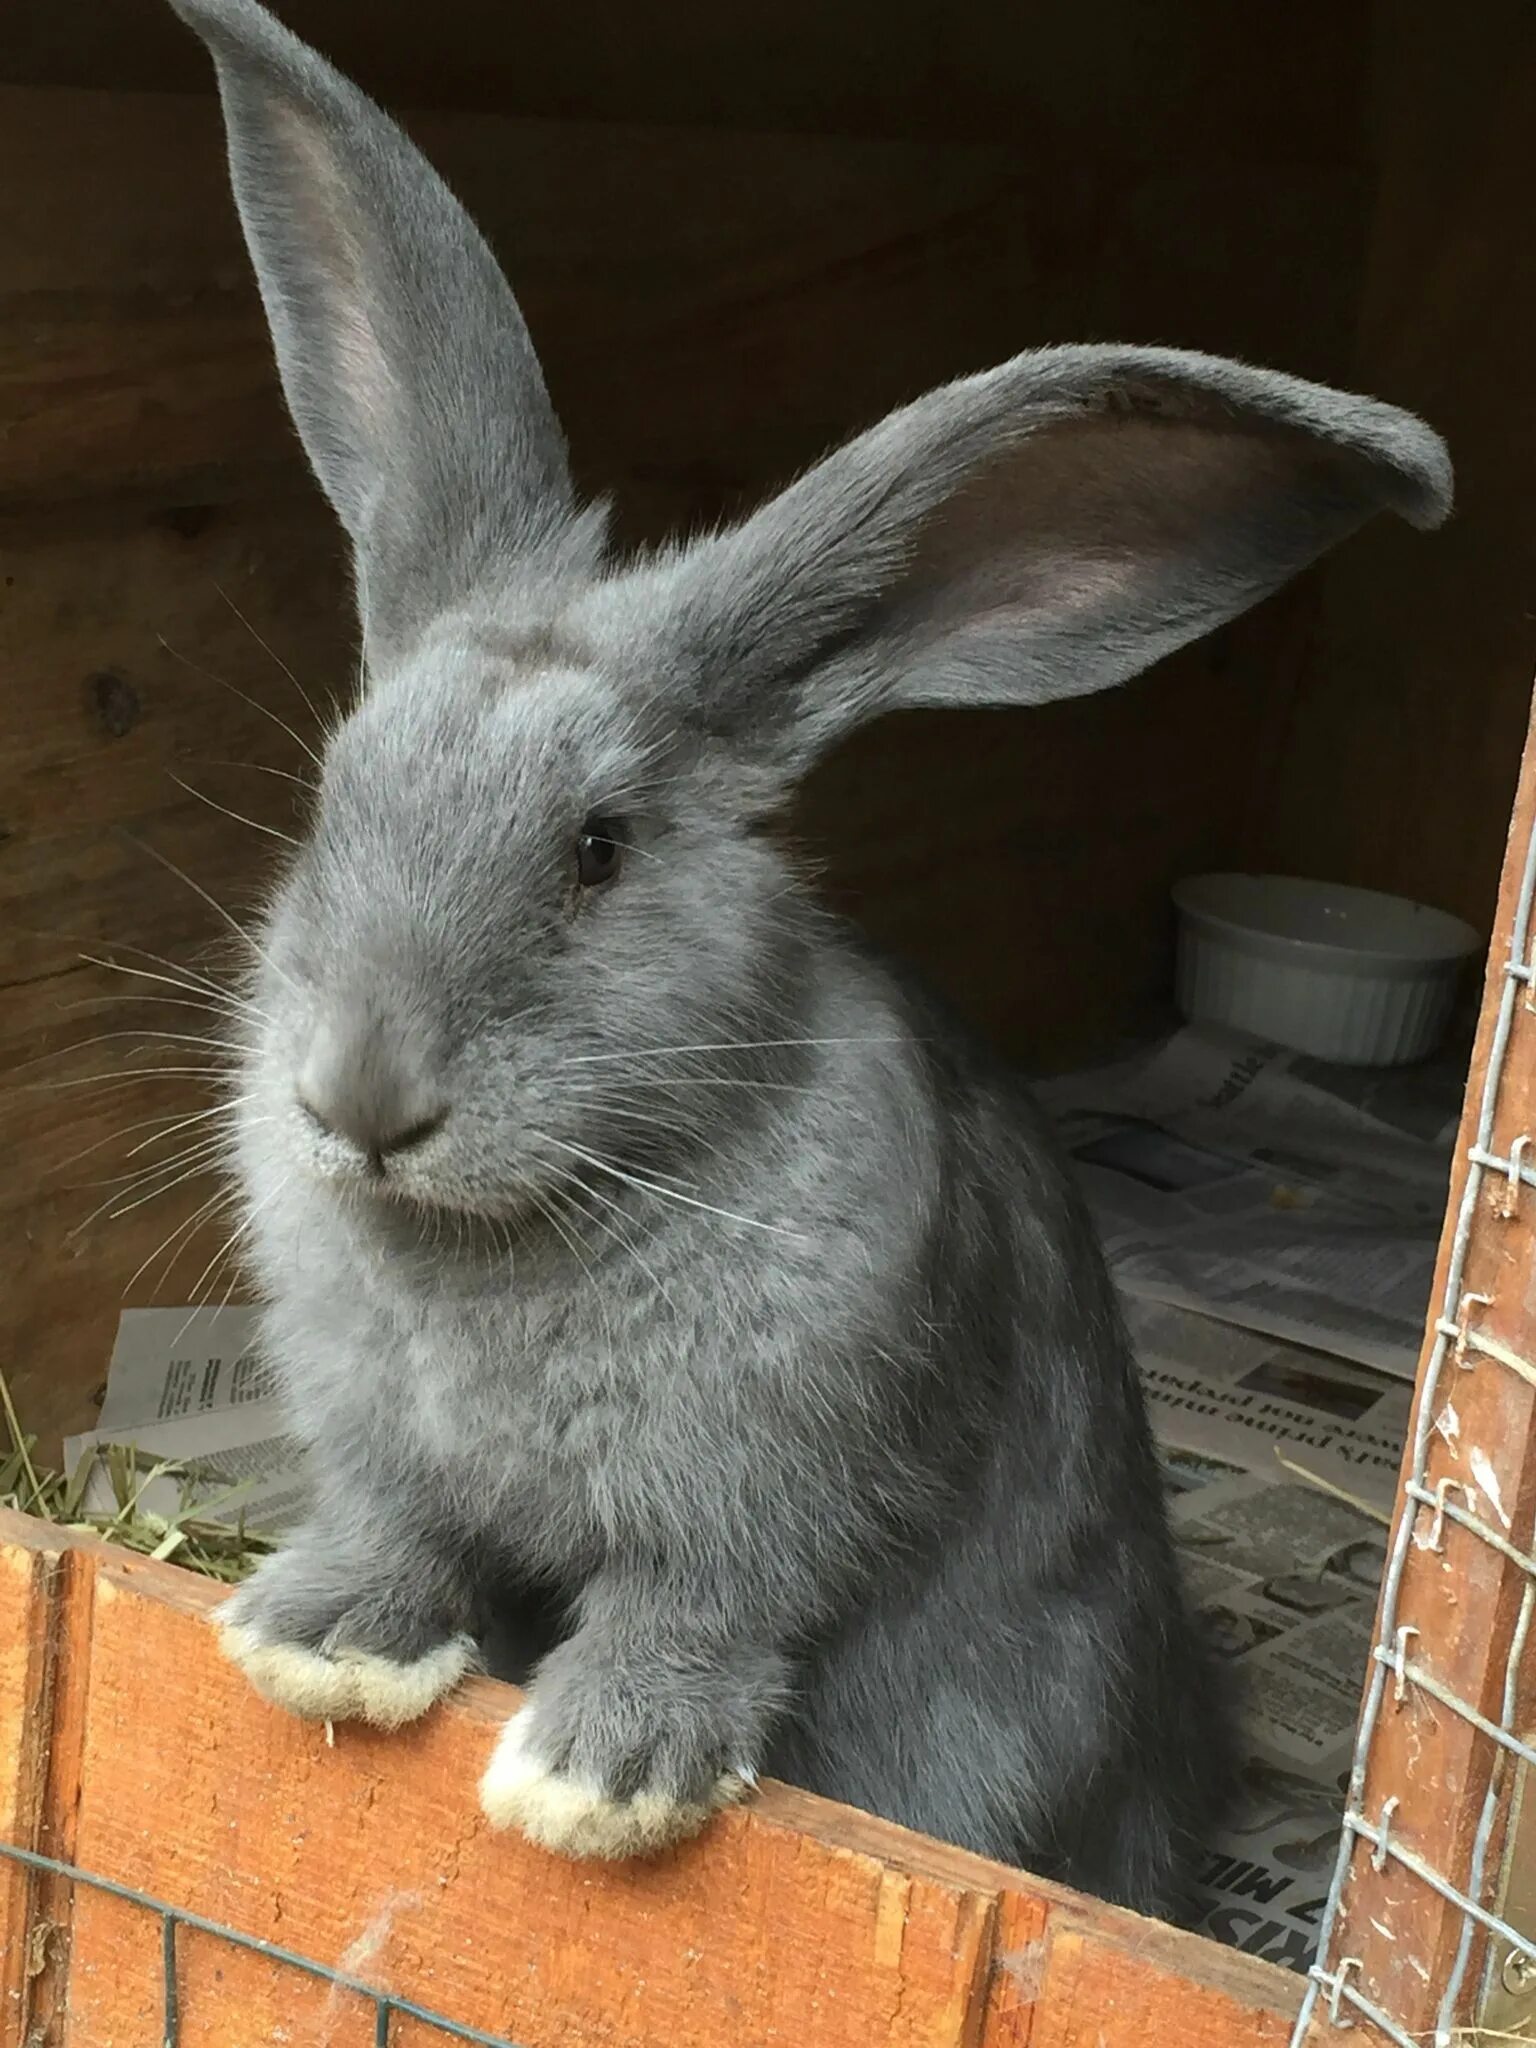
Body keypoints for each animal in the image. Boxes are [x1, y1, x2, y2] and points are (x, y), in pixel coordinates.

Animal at [171, 0, 1458, 1916]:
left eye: (600, 850)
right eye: (338, 796)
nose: (360, 1099)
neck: (511, 1233)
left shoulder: (769, 1500)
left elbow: (692, 1614)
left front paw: (588, 1783)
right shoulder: (391, 1459)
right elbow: (404, 1538)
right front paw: (309, 1643)